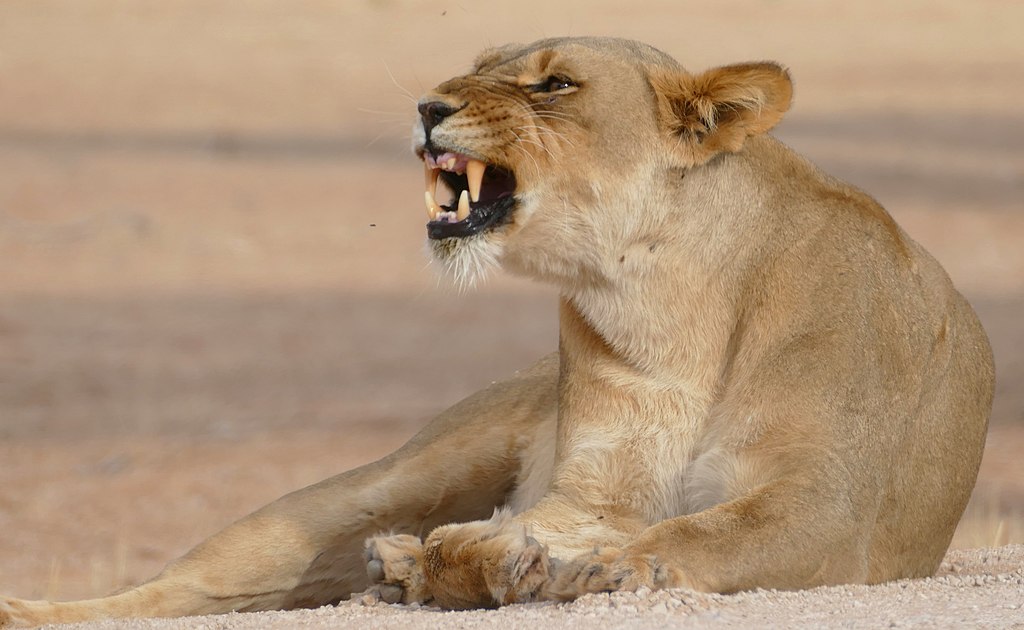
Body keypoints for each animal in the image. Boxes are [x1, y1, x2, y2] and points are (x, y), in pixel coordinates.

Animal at [1, 36, 993, 626]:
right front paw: (466, 559)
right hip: (373, 483)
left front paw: (515, 566)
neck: (663, 303)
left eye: (553, 83)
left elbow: (688, 539)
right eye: (475, 65)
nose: (426, 107)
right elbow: (556, 529)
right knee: (183, 584)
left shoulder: (827, 510)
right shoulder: (586, 492)